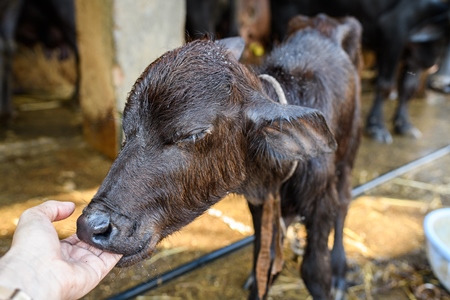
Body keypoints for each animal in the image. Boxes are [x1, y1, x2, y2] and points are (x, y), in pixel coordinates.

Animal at [78, 14, 362, 300]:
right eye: (127, 129)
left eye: (192, 134)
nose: (91, 226)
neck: (276, 172)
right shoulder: (260, 206)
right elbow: (264, 260)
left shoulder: (321, 203)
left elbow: (315, 271)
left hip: (349, 155)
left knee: (344, 202)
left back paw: (340, 271)